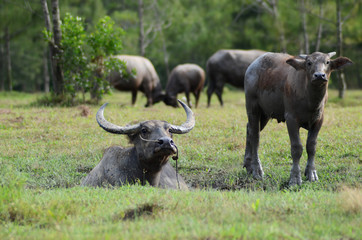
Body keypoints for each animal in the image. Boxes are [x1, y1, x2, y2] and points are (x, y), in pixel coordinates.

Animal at [243, 50, 350, 186]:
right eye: (309, 63)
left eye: (327, 62)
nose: (319, 75)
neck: (310, 100)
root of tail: (252, 66)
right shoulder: (291, 119)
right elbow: (296, 148)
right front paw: (294, 178)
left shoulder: (319, 120)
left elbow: (311, 146)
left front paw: (311, 174)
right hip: (252, 107)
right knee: (255, 136)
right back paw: (257, 170)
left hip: (265, 113)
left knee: (249, 130)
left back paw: (248, 165)